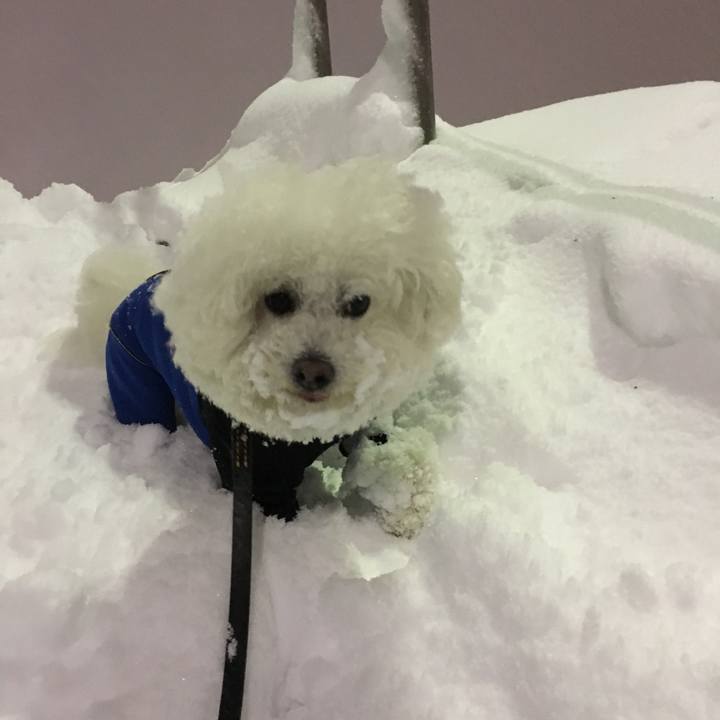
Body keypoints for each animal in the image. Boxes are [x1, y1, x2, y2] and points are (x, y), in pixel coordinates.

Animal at [75, 158, 462, 536]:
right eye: (277, 299)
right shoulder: (259, 478)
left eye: (358, 303)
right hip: (134, 382)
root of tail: (130, 292)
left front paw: (406, 509)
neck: (300, 428)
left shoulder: (362, 427)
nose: (314, 372)